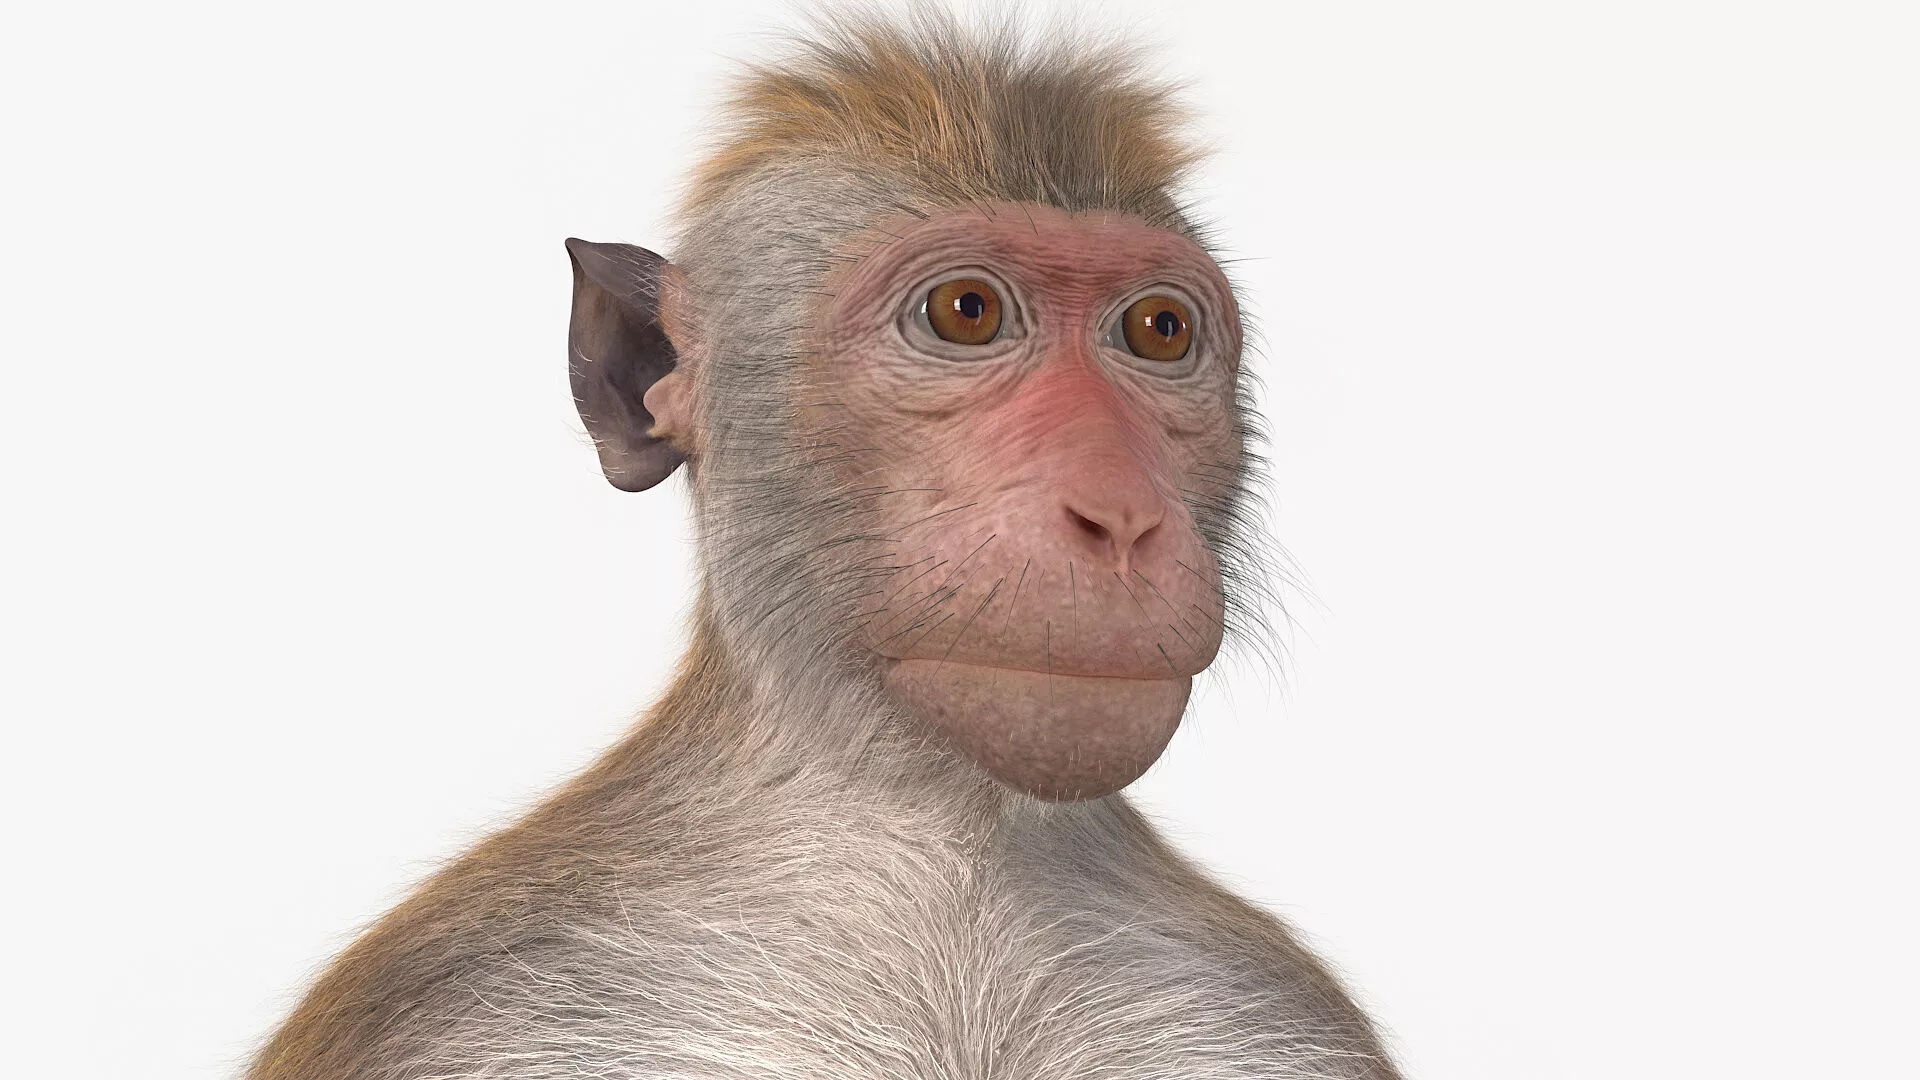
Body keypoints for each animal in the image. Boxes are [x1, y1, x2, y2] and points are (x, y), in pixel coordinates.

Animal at [246, 11, 1403, 1080]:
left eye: (1159, 331)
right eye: (967, 312)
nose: (1120, 515)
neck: (948, 861)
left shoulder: (1273, 1013)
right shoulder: (458, 1004)